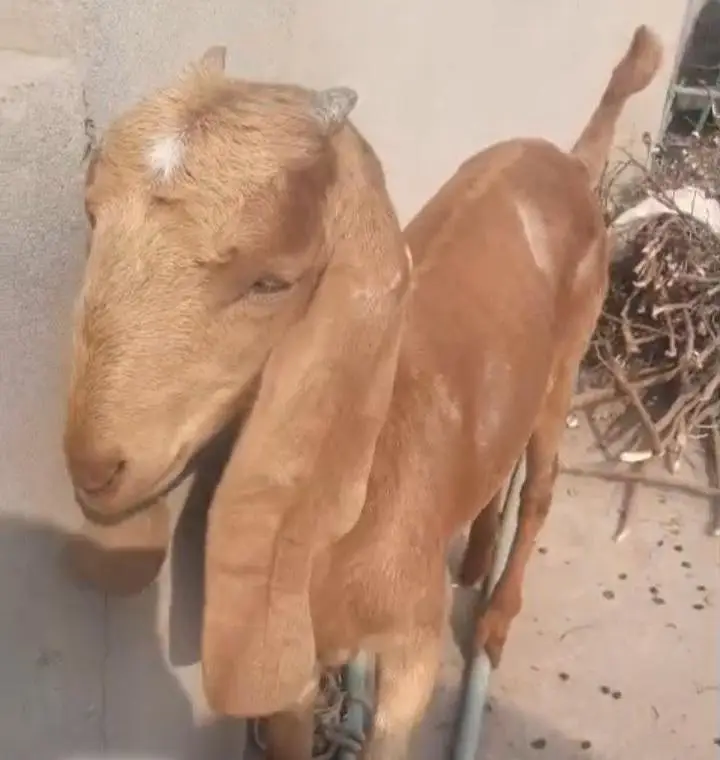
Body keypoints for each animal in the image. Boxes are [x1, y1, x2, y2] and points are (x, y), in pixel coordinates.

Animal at [63, 27, 662, 760]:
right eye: (92, 217)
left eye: (271, 281)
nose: (95, 466)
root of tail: (571, 164)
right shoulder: (296, 672)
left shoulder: (412, 650)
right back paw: (475, 558)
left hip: (569, 361)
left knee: (541, 485)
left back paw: (494, 623)